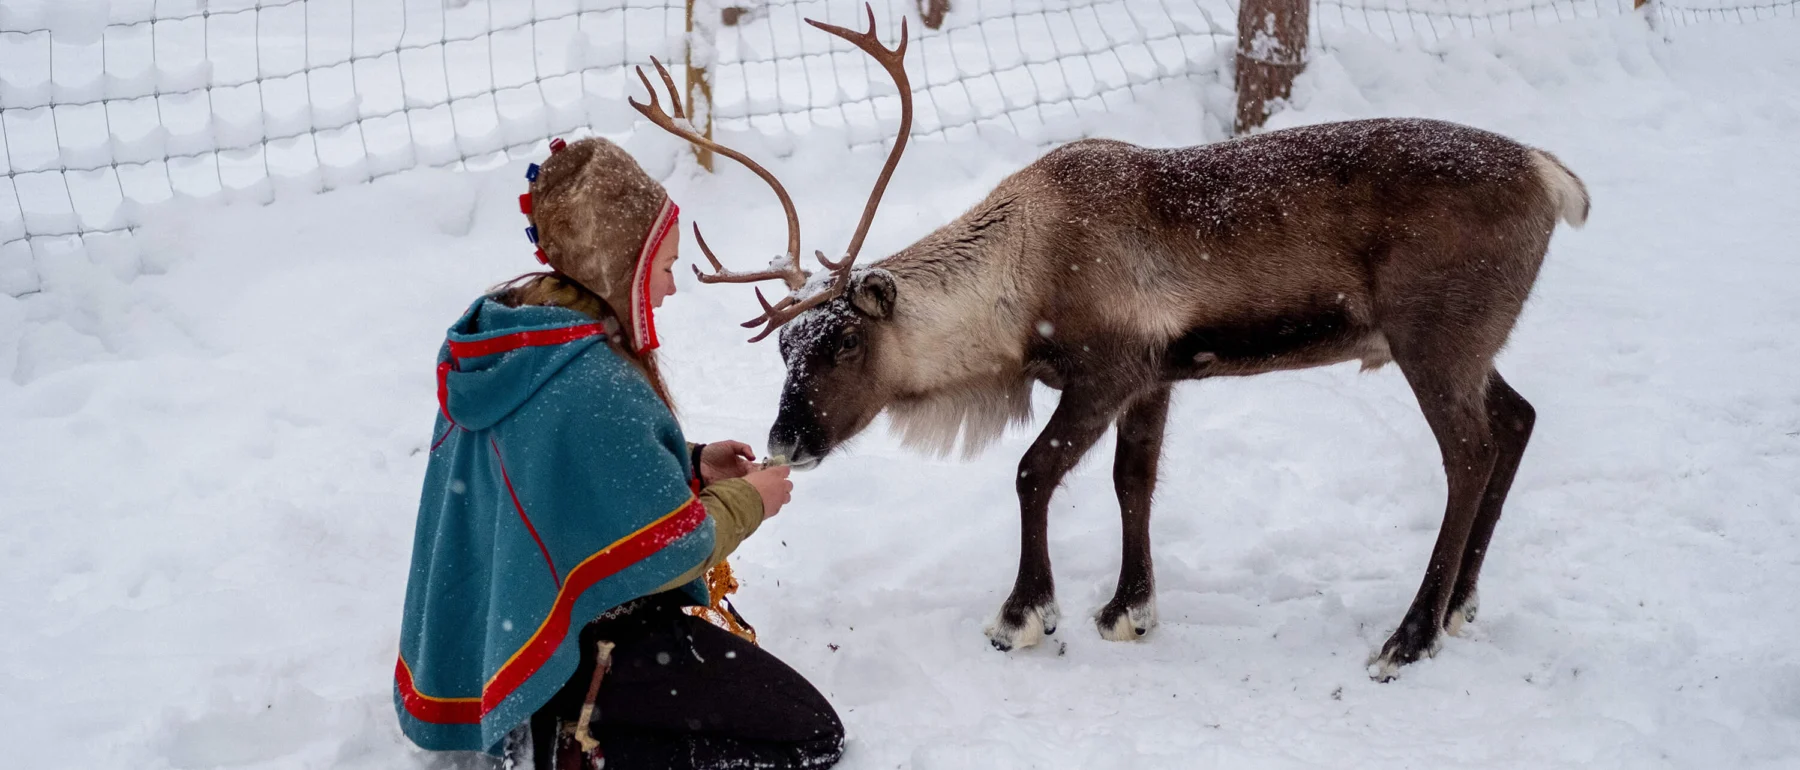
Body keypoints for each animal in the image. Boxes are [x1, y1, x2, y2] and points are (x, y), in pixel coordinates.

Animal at [629, 5, 1588, 679]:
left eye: (843, 347)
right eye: (784, 349)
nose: (786, 440)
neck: (1021, 283)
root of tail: (1555, 178)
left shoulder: (1107, 370)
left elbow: (1033, 472)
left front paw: (1024, 615)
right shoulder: (1157, 375)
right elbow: (1135, 481)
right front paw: (1129, 609)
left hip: (1434, 338)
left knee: (1468, 451)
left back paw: (1410, 636)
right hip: (1470, 346)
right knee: (1519, 418)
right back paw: (1460, 606)